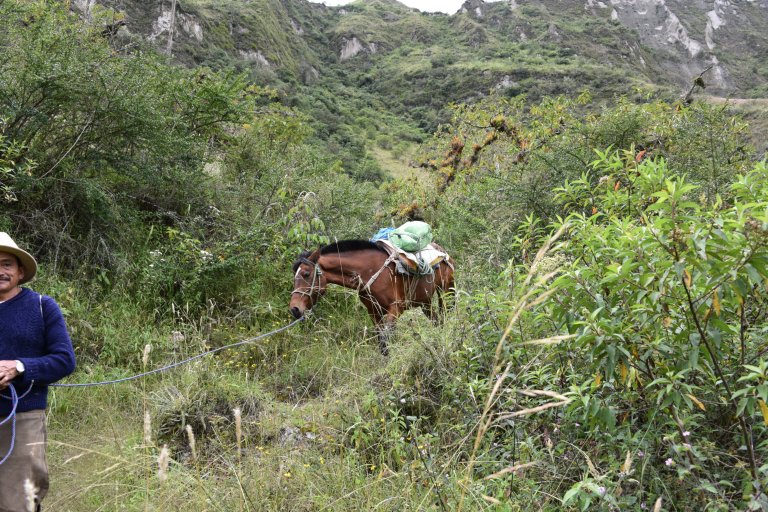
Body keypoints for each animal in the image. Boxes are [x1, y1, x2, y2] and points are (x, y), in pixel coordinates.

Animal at [289, 240, 455, 354]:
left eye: (306, 274)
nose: (294, 309)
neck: (369, 272)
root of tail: (441, 251)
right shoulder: (374, 312)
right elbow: (381, 340)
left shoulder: (396, 308)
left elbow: (385, 339)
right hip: (424, 302)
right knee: (437, 321)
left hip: (446, 291)